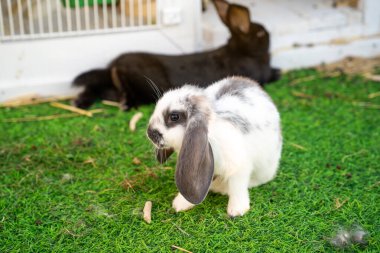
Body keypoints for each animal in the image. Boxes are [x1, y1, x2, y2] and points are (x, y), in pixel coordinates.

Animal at [72, 0, 280, 109]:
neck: (241, 51)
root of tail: (115, 66)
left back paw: (80, 103)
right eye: (261, 34)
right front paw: (278, 72)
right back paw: (124, 104)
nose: (269, 35)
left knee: (97, 89)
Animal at [146, 76, 282, 216]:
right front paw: (179, 204)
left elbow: (237, 188)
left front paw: (237, 210)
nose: (149, 133)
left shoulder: (238, 168)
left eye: (174, 116)